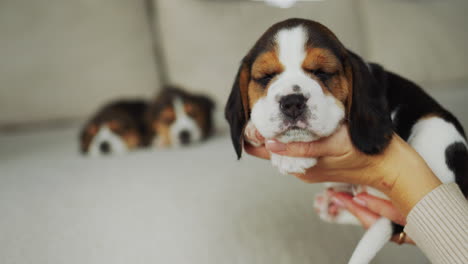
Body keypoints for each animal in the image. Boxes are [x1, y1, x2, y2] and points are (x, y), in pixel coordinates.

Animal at [225, 18, 466, 264]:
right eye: (266, 76)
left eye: (322, 73)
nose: (292, 102)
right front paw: (252, 129)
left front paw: (291, 158)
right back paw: (334, 206)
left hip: (435, 129)